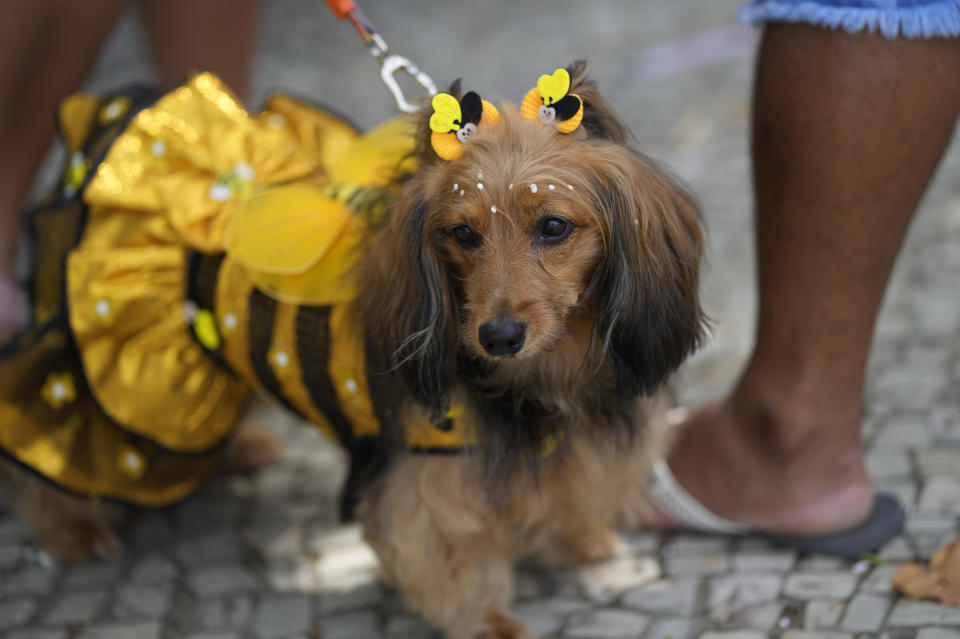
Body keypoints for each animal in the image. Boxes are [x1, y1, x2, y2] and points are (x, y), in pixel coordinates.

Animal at [0, 61, 704, 639]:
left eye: (554, 226)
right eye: (462, 234)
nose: (498, 337)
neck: (537, 380)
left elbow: (562, 494)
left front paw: (578, 545)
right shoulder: (429, 474)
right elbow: (451, 555)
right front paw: (487, 622)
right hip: (99, 374)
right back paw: (69, 527)